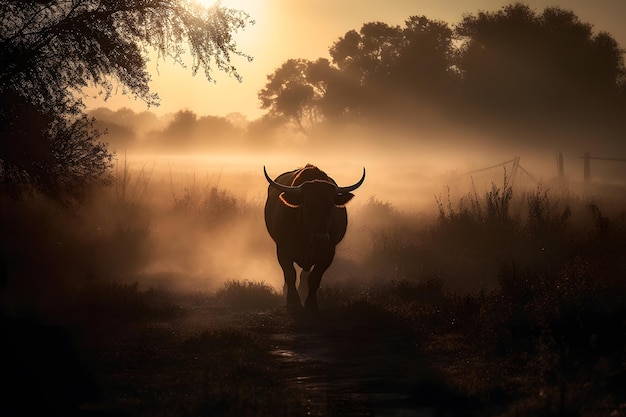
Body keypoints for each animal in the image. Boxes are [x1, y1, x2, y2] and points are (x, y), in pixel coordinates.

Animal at [260, 164, 364, 310]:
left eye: (330, 206)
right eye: (308, 205)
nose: (320, 238)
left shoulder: (328, 252)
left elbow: (314, 277)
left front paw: (311, 303)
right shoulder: (282, 250)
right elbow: (290, 274)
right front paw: (293, 301)